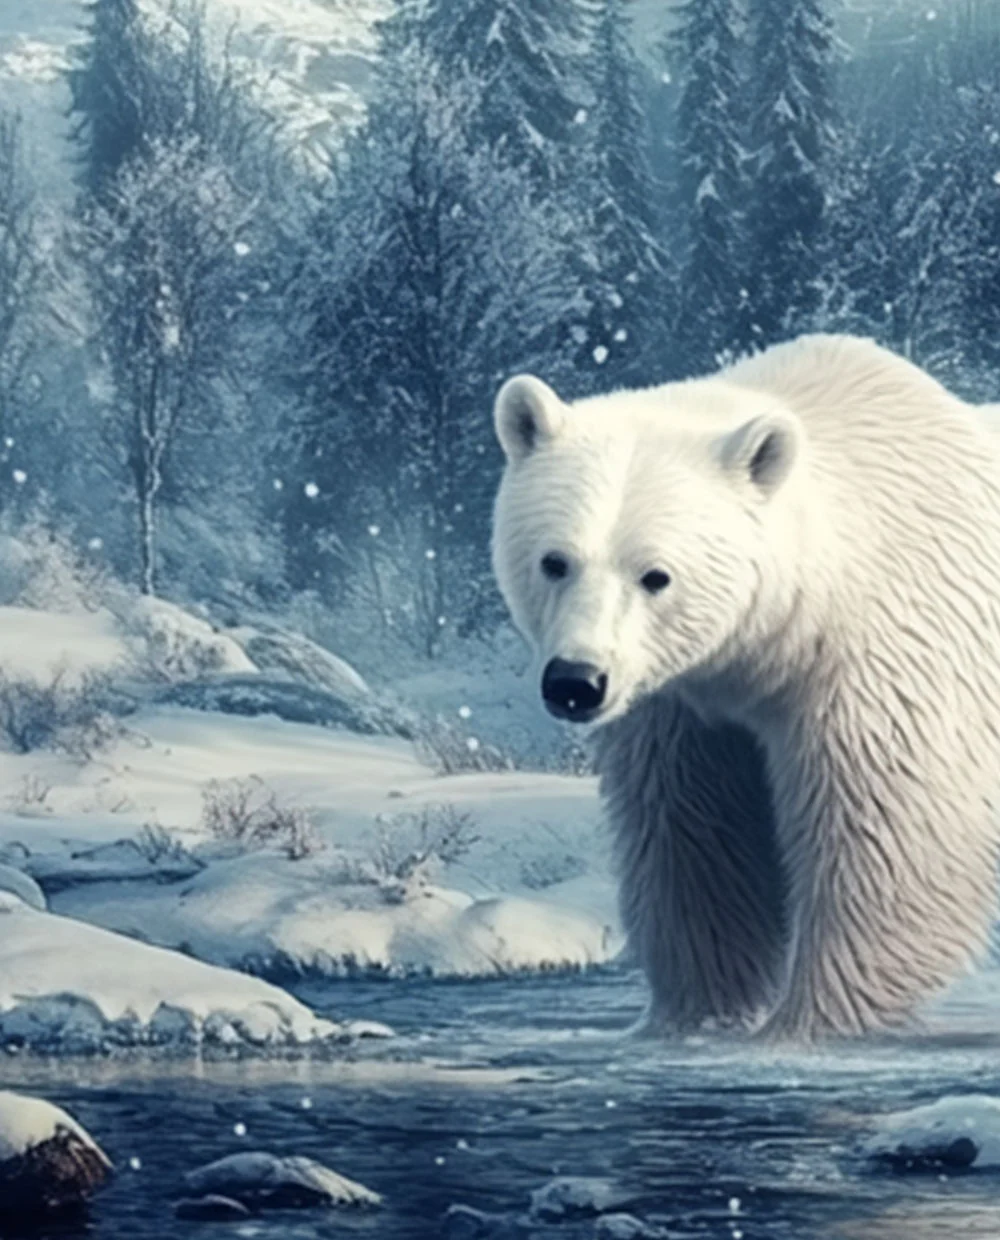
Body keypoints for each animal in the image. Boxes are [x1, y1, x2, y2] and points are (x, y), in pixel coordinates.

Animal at [491, 334, 1000, 1042]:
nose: (576, 681)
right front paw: (692, 1017)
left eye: (655, 575)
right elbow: (697, 838)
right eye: (555, 560)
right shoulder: (683, 702)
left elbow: (888, 842)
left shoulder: (884, 663)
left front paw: (807, 1025)